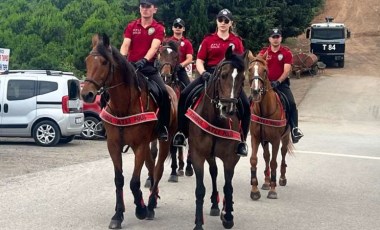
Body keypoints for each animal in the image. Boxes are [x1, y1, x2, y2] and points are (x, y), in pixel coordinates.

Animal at [80, 33, 178, 228]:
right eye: (87, 61)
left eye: (104, 62)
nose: (86, 94)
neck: (123, 106)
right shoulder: (114, 145)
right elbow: (119, 180)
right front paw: (118, 215)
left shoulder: (139, 146)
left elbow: (134, 182)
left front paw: (140, 208)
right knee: (151, 166)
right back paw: (152, 196)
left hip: (164, 140)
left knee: (159, 169)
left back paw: (151, 204)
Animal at [188, 45, 248, 229]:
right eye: (223, 75)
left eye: (243, 79)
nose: (228, 108)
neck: (214, 119)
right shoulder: (198, 155)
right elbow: (200, 189)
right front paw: (198, 223)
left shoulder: (230, 158)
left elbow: (228, 187)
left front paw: (228, 217)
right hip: (209, 155)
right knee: (213, 172)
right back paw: (214, 204)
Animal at [246, 51, 294, 200]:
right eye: (250, 69)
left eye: (265, 70)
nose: (255, 92)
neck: (264, 110)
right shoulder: (255, 138)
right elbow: (254, 160)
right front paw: (254, 190)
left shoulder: (276, 140)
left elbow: (274, 163)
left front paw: (273, 190)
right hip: (264, 140)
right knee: (266, 156)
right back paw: (266, 182)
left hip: (284, 138)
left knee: (282, 155)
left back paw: (281, 179)